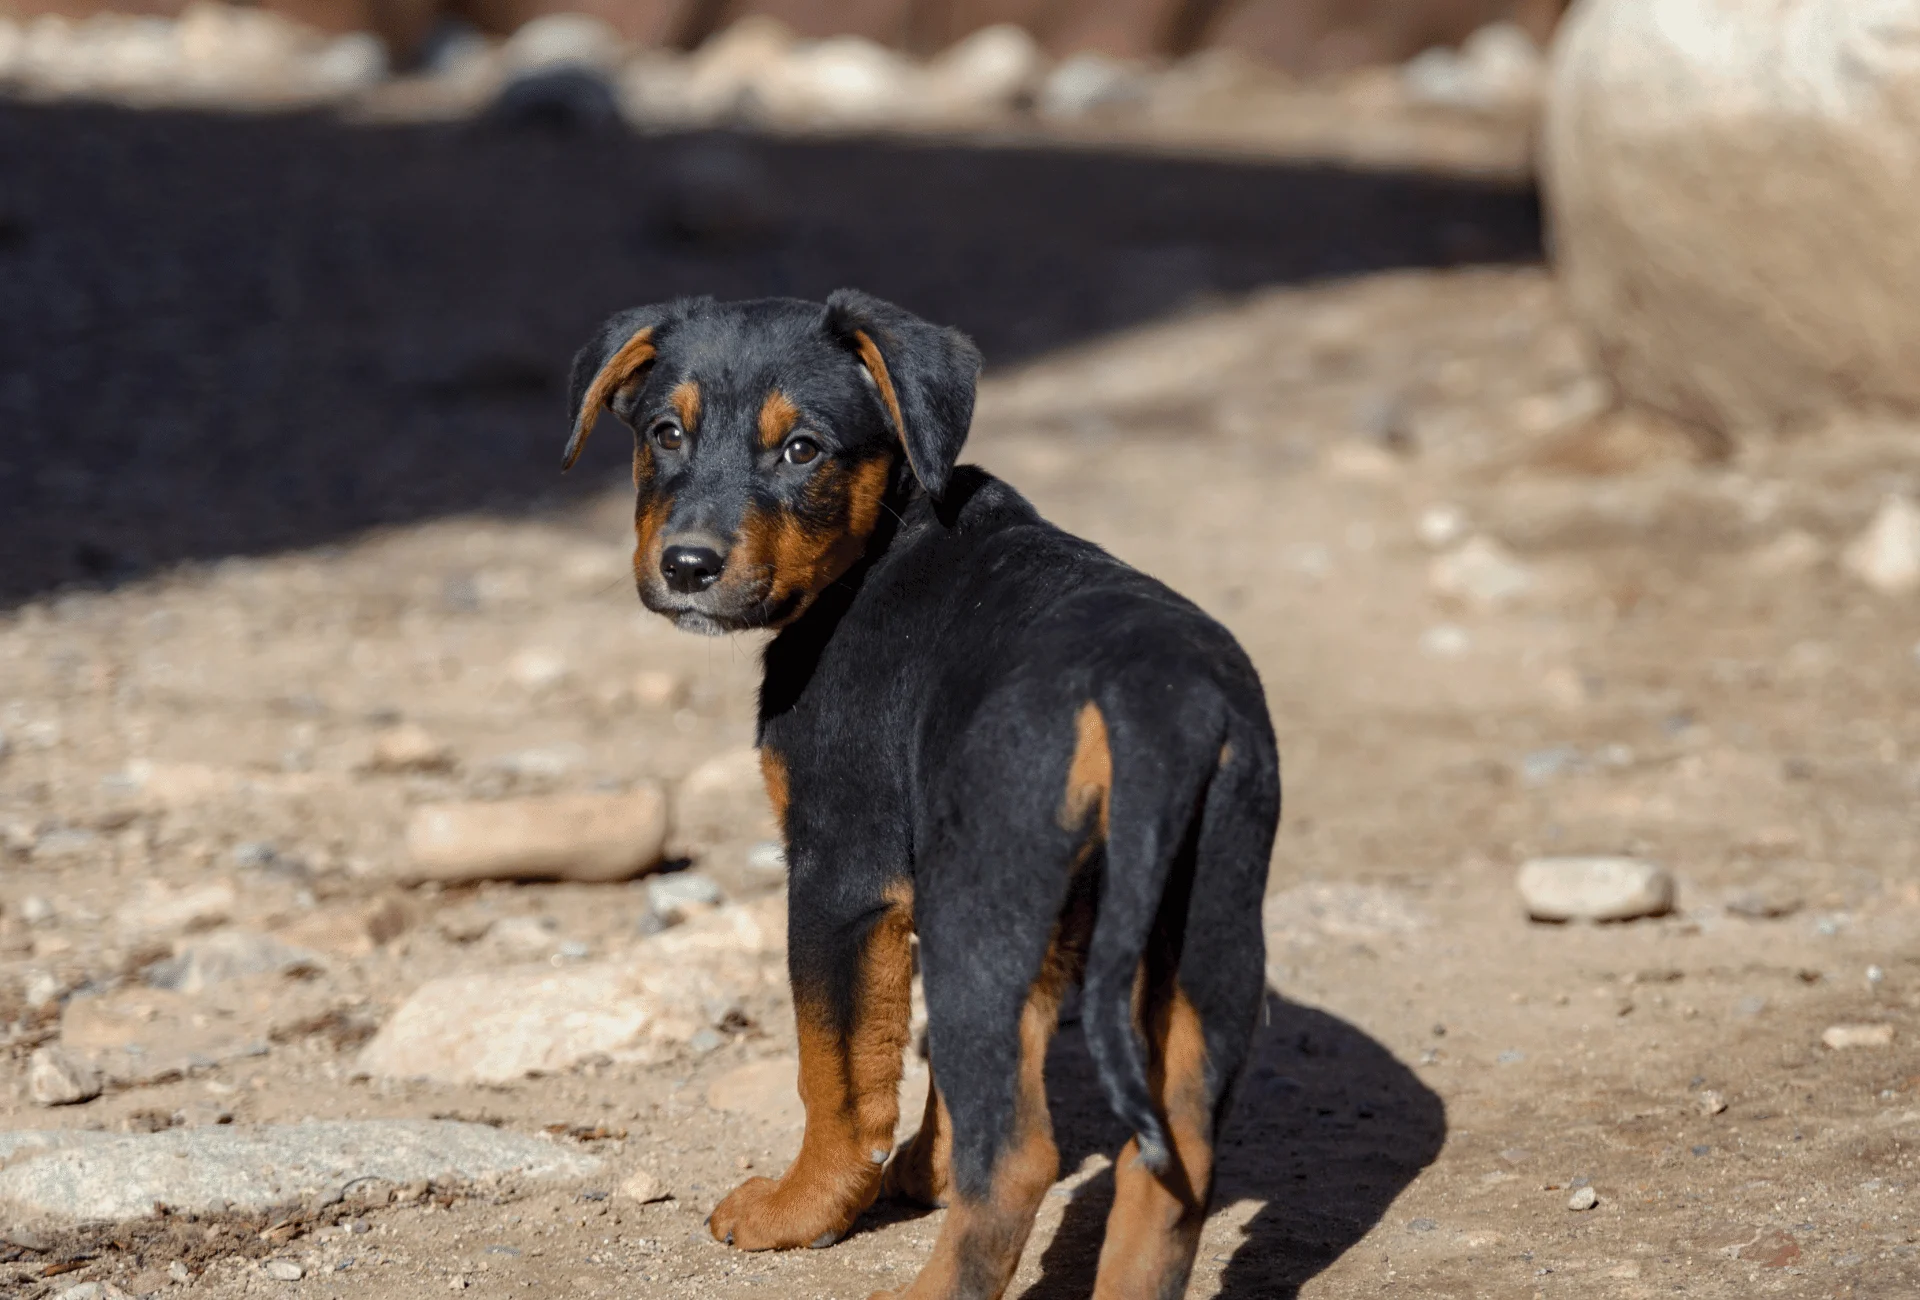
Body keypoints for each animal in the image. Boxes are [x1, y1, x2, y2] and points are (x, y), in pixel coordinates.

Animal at [568, 293, 1290, 1298]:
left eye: (804, 450)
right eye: (665, 434)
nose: (687, 567)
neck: (884, 537)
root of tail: (1149, 703)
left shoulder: (841, 877)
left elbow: (834, 1074)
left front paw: (800, 1211)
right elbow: (943, 1084)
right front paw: (920, 1173)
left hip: (984, 915)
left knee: (1021, 1158)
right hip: (1200, 935)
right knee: (1170, 1162)